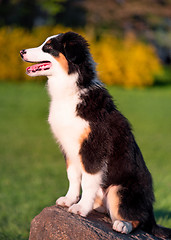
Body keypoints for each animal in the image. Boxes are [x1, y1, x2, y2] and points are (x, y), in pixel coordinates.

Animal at [20, 31, 171, 238]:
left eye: (48, 47)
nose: (21, 51)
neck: (72, 91)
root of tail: (152, 215)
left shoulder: (94, 147)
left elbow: (88, 181)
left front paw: (80, 208)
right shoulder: (69, 147)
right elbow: (73, 177)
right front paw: (69, 200)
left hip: (120, 189)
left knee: (138, 219)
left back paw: (123, 225)